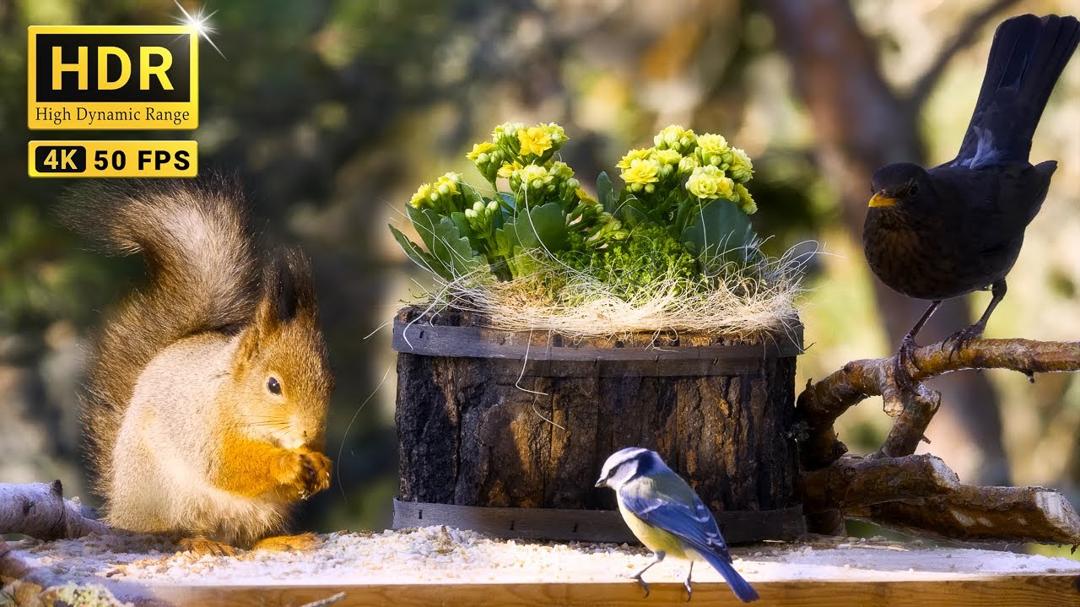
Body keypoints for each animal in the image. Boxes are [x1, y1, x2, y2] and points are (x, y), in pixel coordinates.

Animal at [64, 178, 334, 554]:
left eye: (330, 382)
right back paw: (200, 541)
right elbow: (225, 467)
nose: (310, 431)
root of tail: (122, 508)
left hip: (262, 513)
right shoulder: (202, 427)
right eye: (273, 385)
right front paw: (287, 462)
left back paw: (280, 539)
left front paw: (320, 465)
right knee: (174, 533)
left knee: (250, 538)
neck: (230, 391)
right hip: (165, 496)